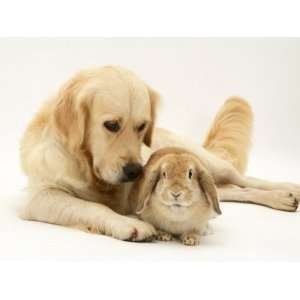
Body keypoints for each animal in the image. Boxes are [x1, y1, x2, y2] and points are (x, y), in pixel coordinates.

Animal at [19, 65, 300, 241]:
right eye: (111, 125)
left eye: (142, 126)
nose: (135, 171)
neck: (88, 168)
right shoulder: (39, 197)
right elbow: (91, 206)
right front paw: (128, 224)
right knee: (233, 190)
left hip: (206, 162)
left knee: (244, 179)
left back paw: (286, 191)